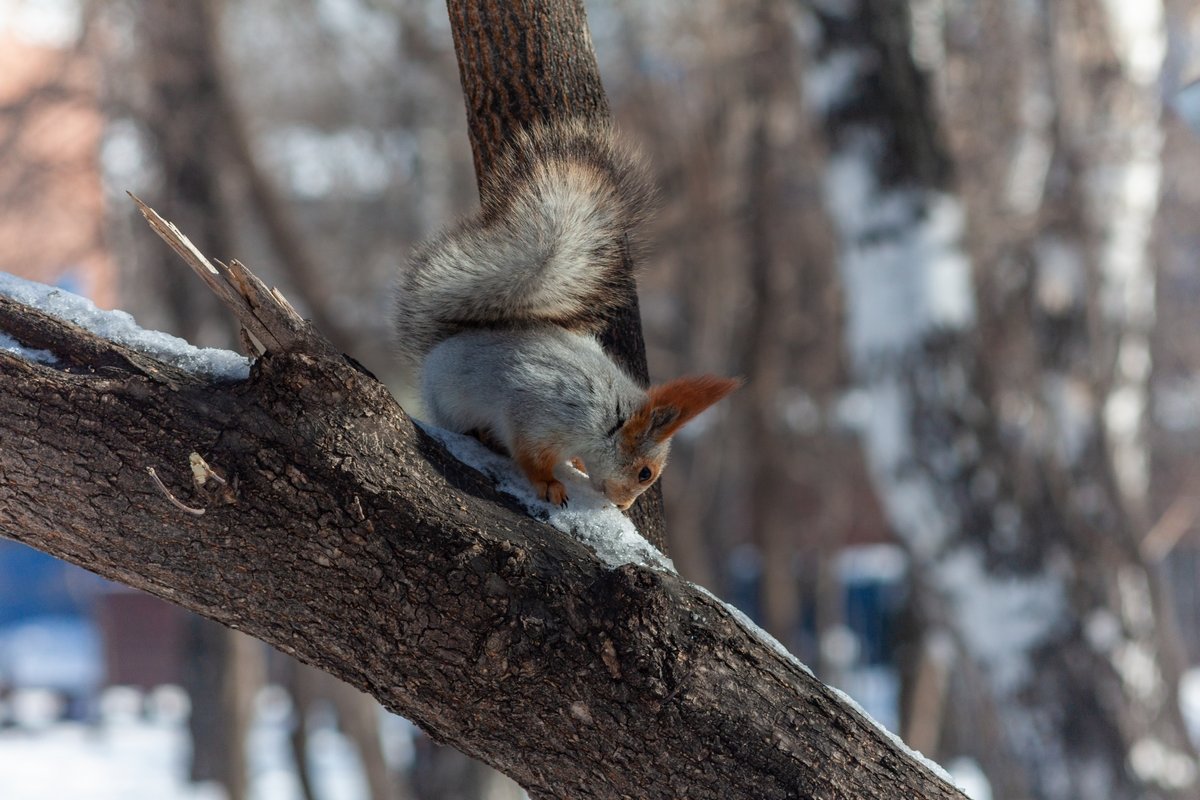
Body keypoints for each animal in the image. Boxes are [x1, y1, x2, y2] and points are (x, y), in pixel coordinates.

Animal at [391, 120, 739, 506]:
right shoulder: (537, 416)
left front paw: (577, 465)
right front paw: (549, 485)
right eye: (645, 473)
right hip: (449, 404)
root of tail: (440, 348)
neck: (609, 418)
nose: (623, 505)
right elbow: (530, 456)